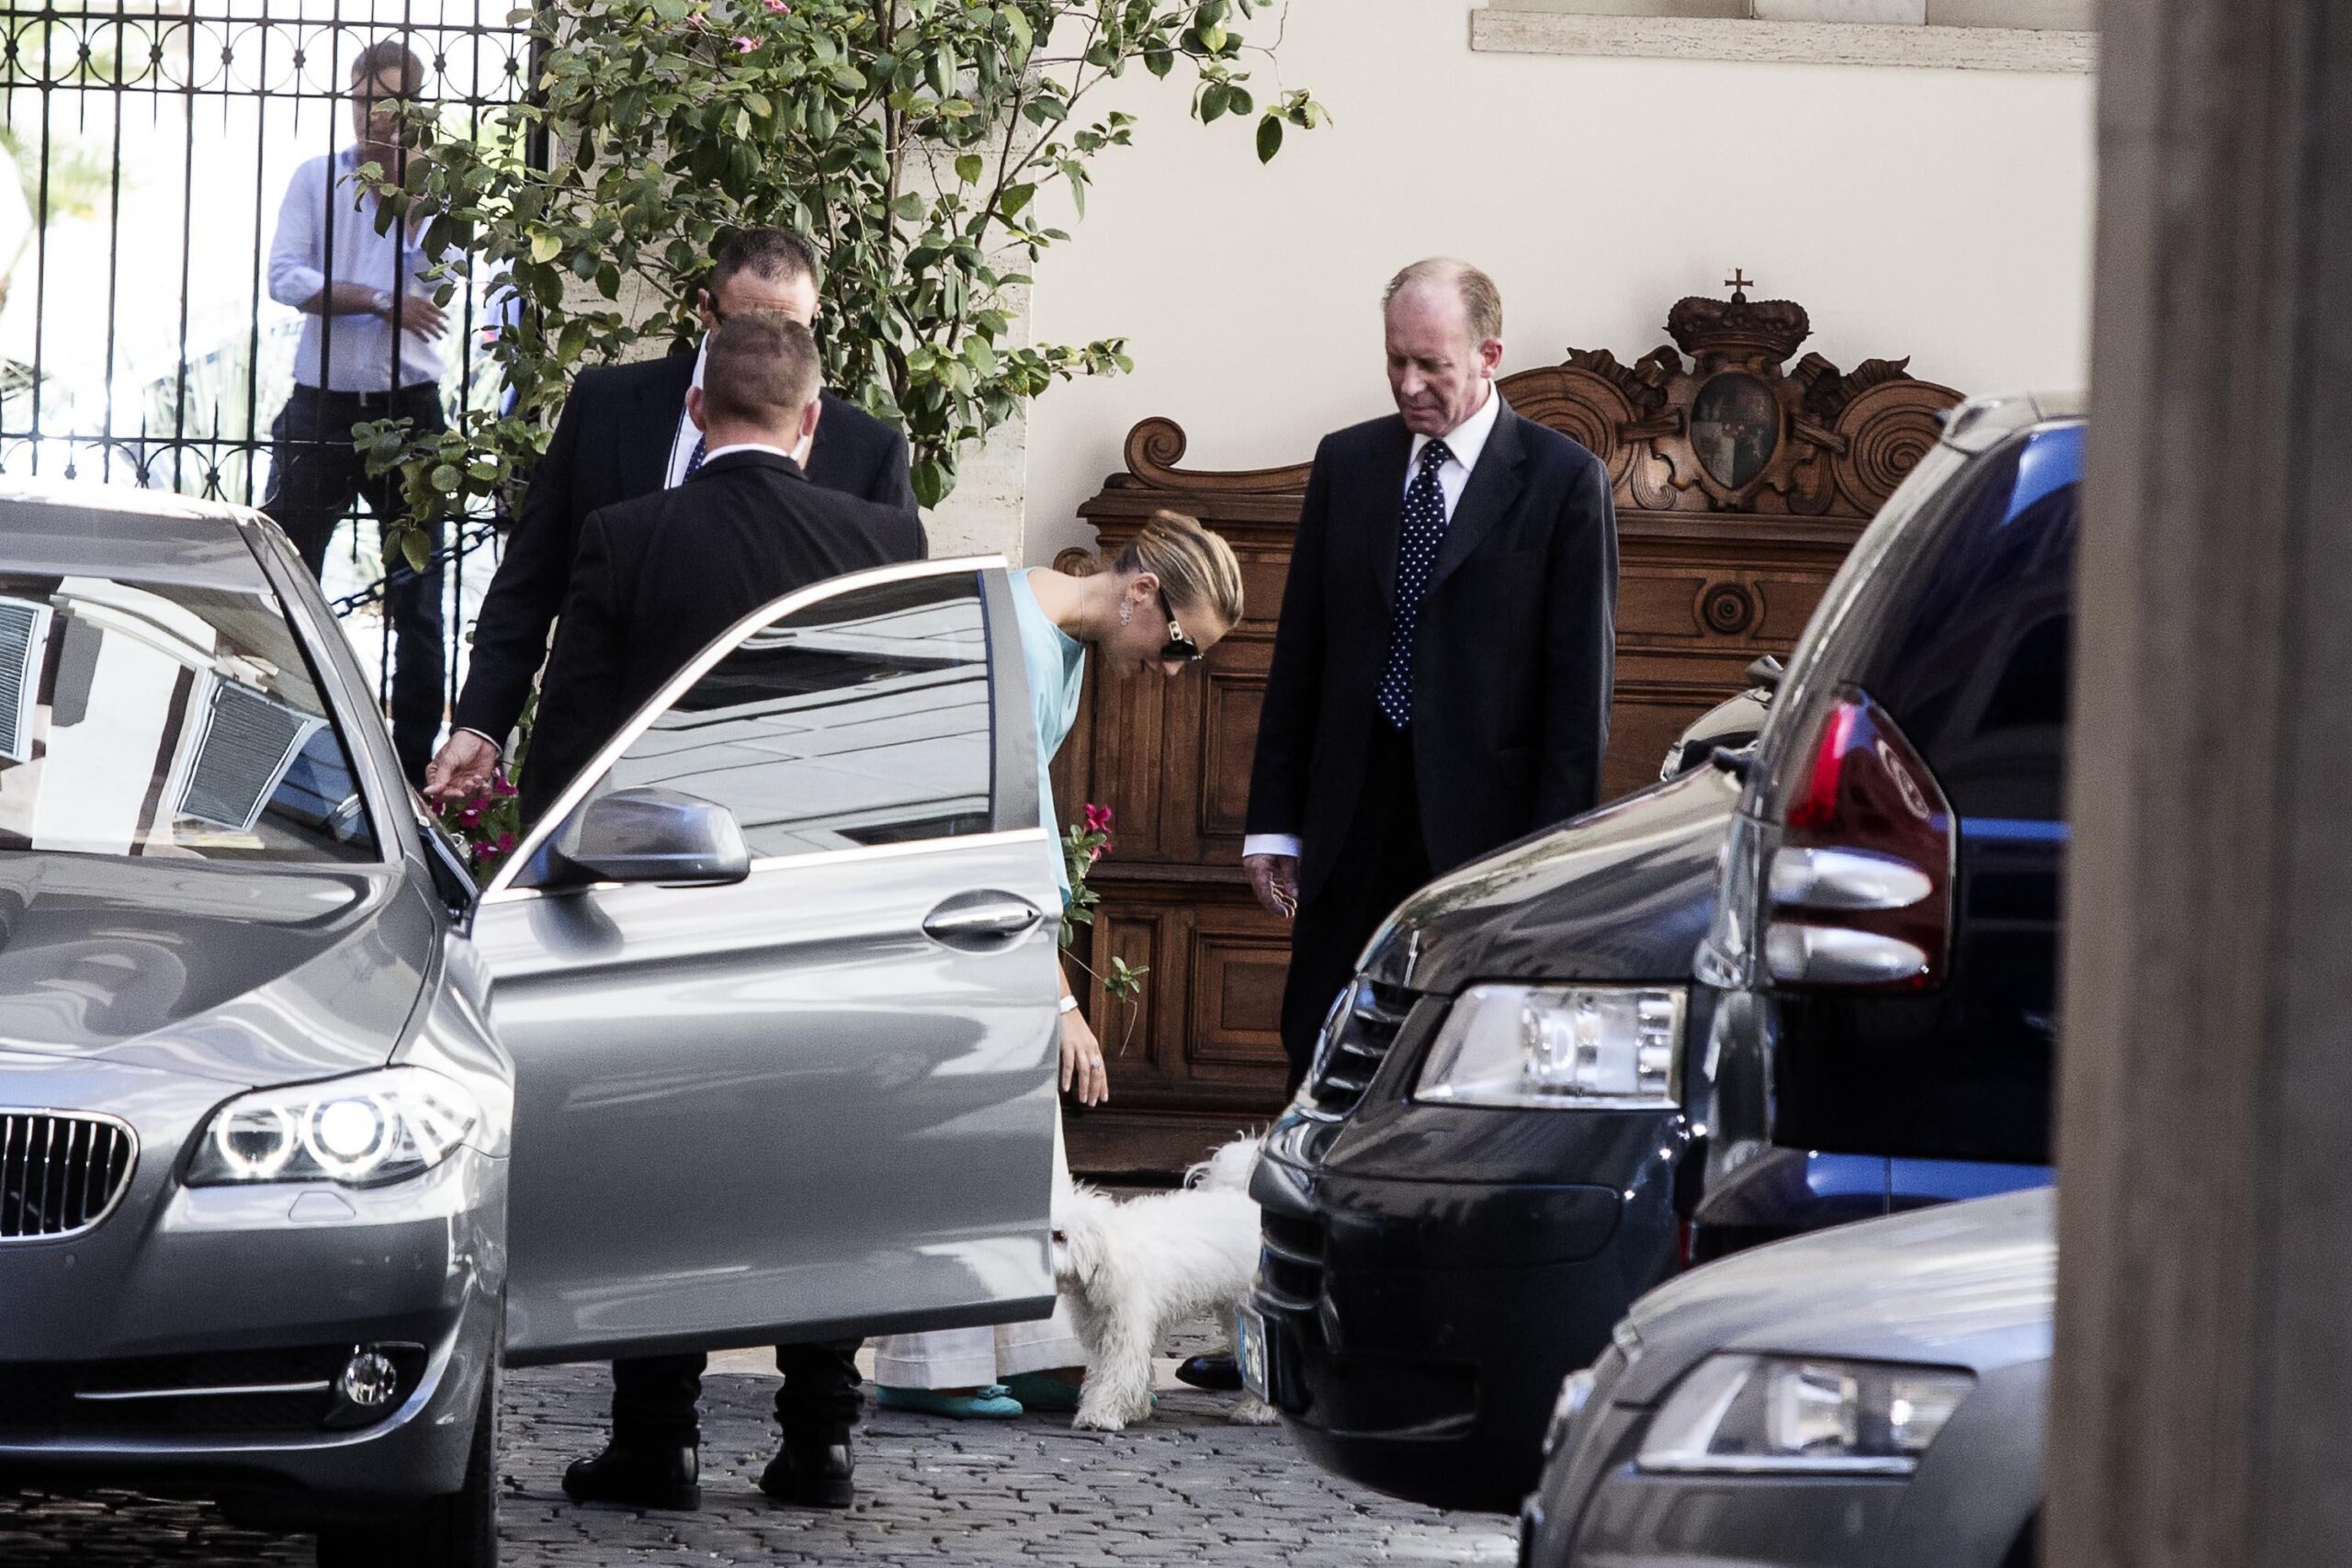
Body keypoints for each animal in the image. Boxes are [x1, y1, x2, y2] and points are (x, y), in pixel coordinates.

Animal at [1051, 1132, 1277, 1431]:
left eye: (1060, 1236)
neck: (1105, 1254)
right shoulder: (1103, 1329)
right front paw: (1134, 1409)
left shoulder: (1126, 1326)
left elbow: (1118, 1373)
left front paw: (1098, 1414)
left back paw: (1257, 1411)